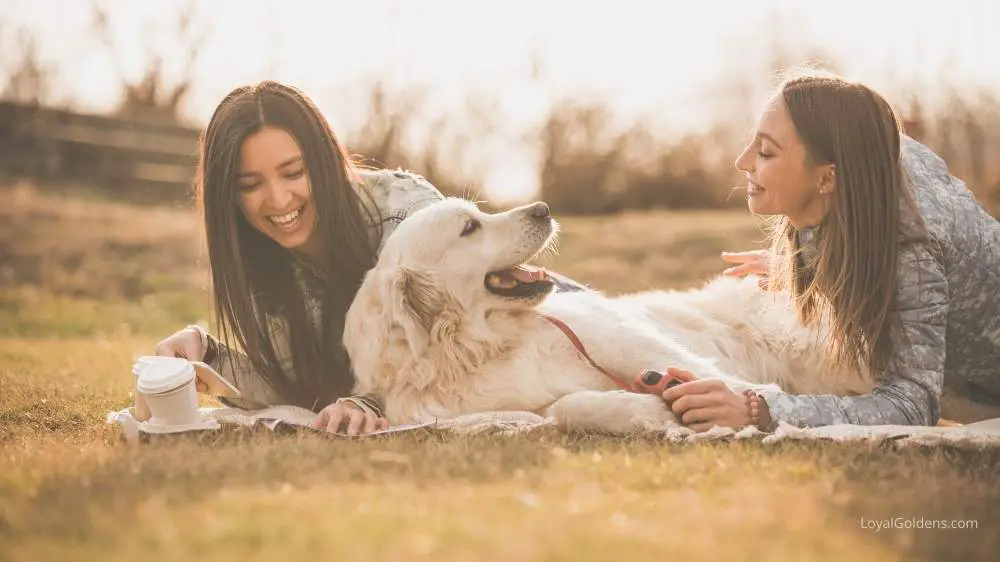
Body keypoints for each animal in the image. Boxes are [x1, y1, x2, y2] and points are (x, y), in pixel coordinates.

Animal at [346, 198, 876, 434]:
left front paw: (741, 402)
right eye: (470, 227)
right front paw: (652, 411)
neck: (487, 345)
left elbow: (702, 373)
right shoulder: (516, 411)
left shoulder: (617, 335)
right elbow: (567, 407)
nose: (542, 208)